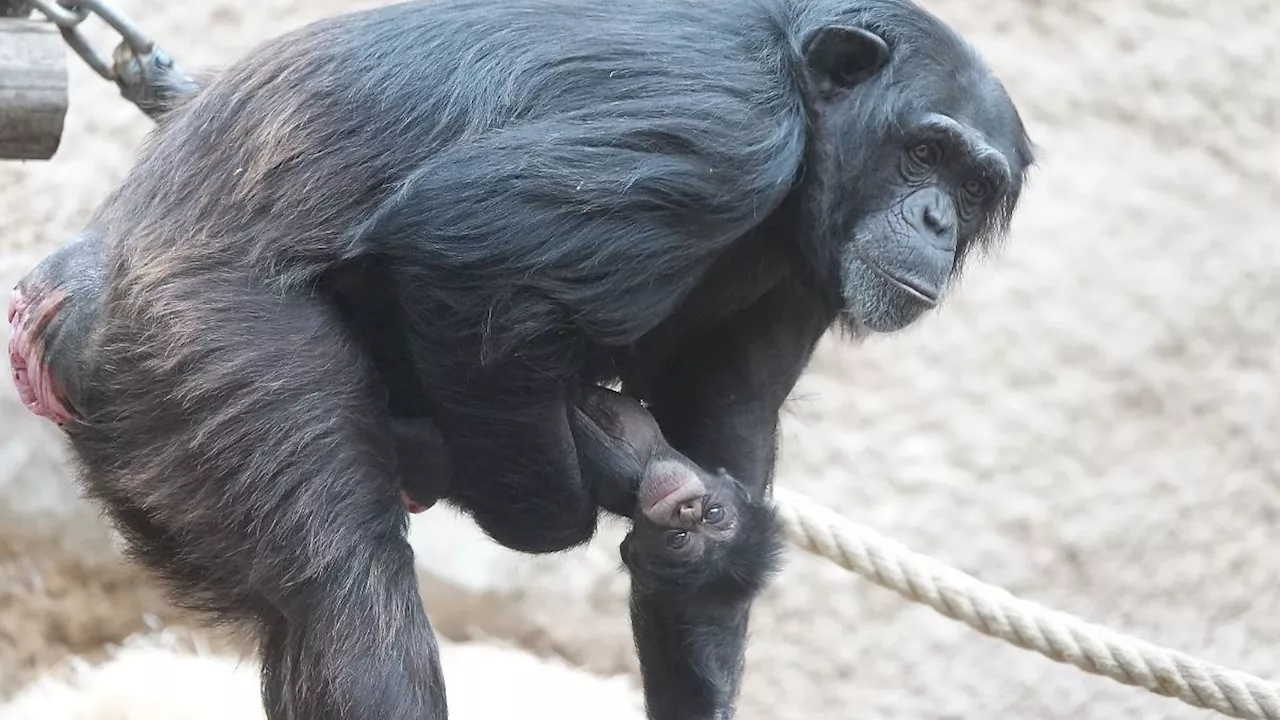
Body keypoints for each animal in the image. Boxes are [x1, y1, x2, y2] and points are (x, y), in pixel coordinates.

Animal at [5, 0, 1034, 712]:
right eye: (924, 152)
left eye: (974, 185)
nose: (937, 219)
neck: (812, 130)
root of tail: (55, 307)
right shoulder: (725, 127)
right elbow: (465, 251)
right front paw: (561, 492)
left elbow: (727, 430)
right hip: (202, 341)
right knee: (345, 605)